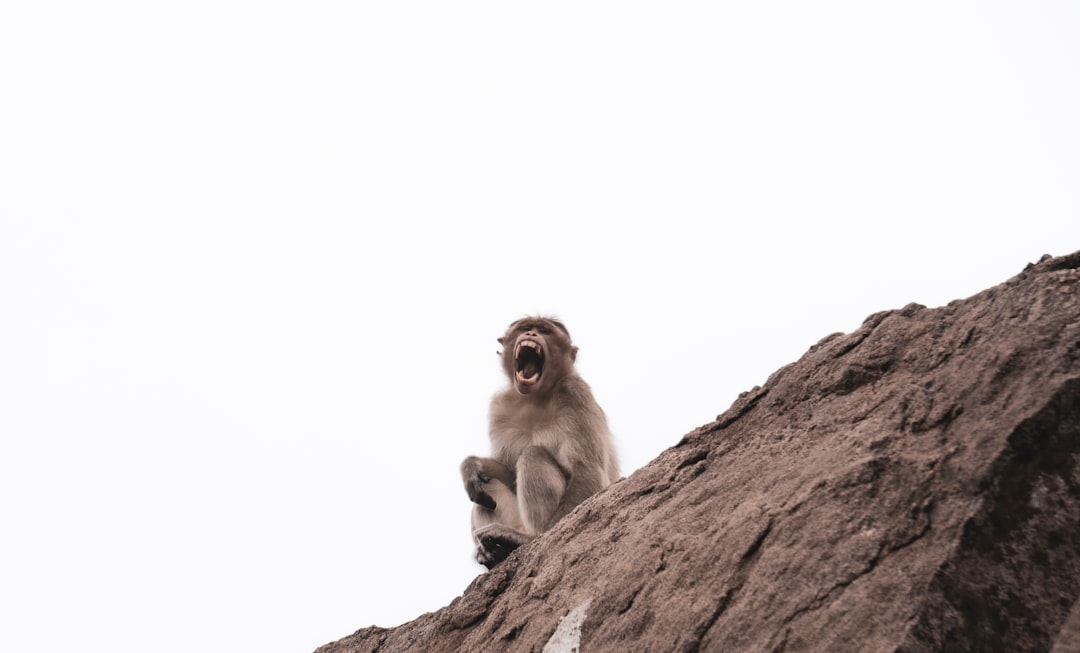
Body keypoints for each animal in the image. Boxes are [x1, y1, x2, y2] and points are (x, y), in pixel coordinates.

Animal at [460, 315, 622, 565]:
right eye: (525, 328)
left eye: (545, 331)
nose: (532, 334)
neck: (534, 398)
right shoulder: (500, 406)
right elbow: (507, 471)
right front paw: (470, 465)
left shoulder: (575, 393)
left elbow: (587, 468)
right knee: (487, 485)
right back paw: (495, 552)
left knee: (533, 455)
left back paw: (526, 538)